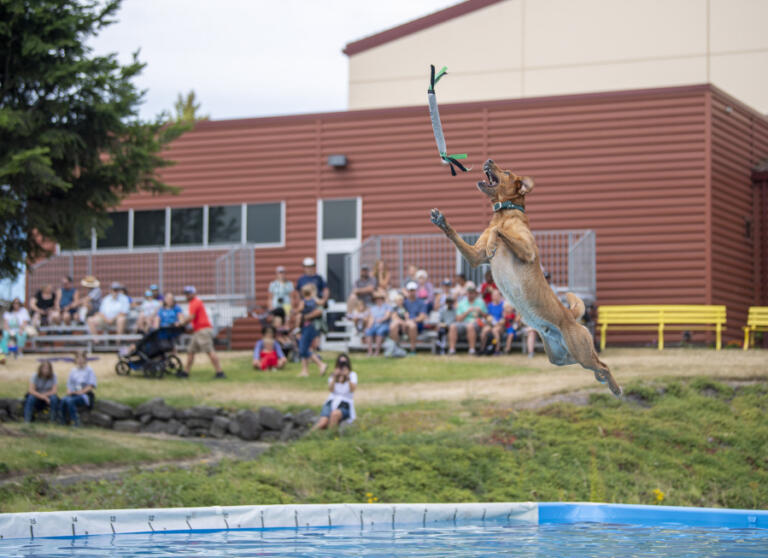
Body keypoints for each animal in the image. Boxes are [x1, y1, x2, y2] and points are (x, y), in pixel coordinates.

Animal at [428, 160, 620, 398]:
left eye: (507, 171)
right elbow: (464, 235)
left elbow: (498, 231)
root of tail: (570, 316)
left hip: (580, 349)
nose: (489, 160)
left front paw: (494, 241)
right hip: (560, 356)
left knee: (602, 364)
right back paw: (601, 379)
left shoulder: (527, 251)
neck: (504, 212)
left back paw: (616, 387)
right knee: (593, 365)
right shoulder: (475, 257)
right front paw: (442, 221)